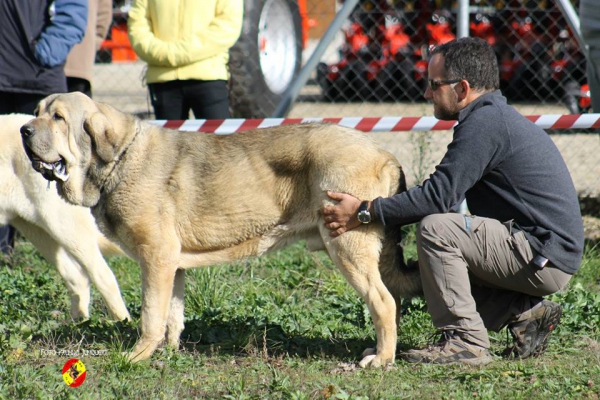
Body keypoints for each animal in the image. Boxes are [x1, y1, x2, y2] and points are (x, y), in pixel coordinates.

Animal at [21, 92, 420, 368]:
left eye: (58, 118)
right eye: (37, 111)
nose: (24, 130)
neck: (120, 158)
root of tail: (384, 153)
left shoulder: (155, 258)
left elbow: (150, 314)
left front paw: (137, 356)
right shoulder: (172, 265)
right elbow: (172, 315)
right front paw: (169, 352)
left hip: (347, 247)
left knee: (383, 301)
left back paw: (381, 359)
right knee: (392, 300)